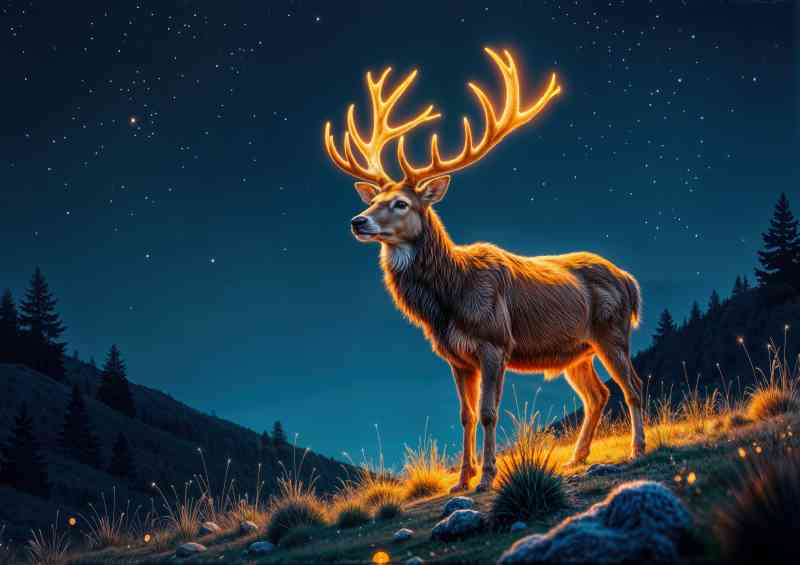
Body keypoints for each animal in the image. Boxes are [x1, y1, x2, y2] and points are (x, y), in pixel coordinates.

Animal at [323, 48, 645, 492]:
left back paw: (637, 448)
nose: (358, 221)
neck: (450, 297)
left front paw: (488, 476)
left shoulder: (495, 342)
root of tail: (630, 281)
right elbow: (466, 415)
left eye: (401, 203)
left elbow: (490, 412)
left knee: (633, 386)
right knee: (597, 394)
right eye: (373, 201)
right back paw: (577, 457)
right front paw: (461, 479)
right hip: (577, 350)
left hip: (612, 331)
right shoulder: (455, 358)